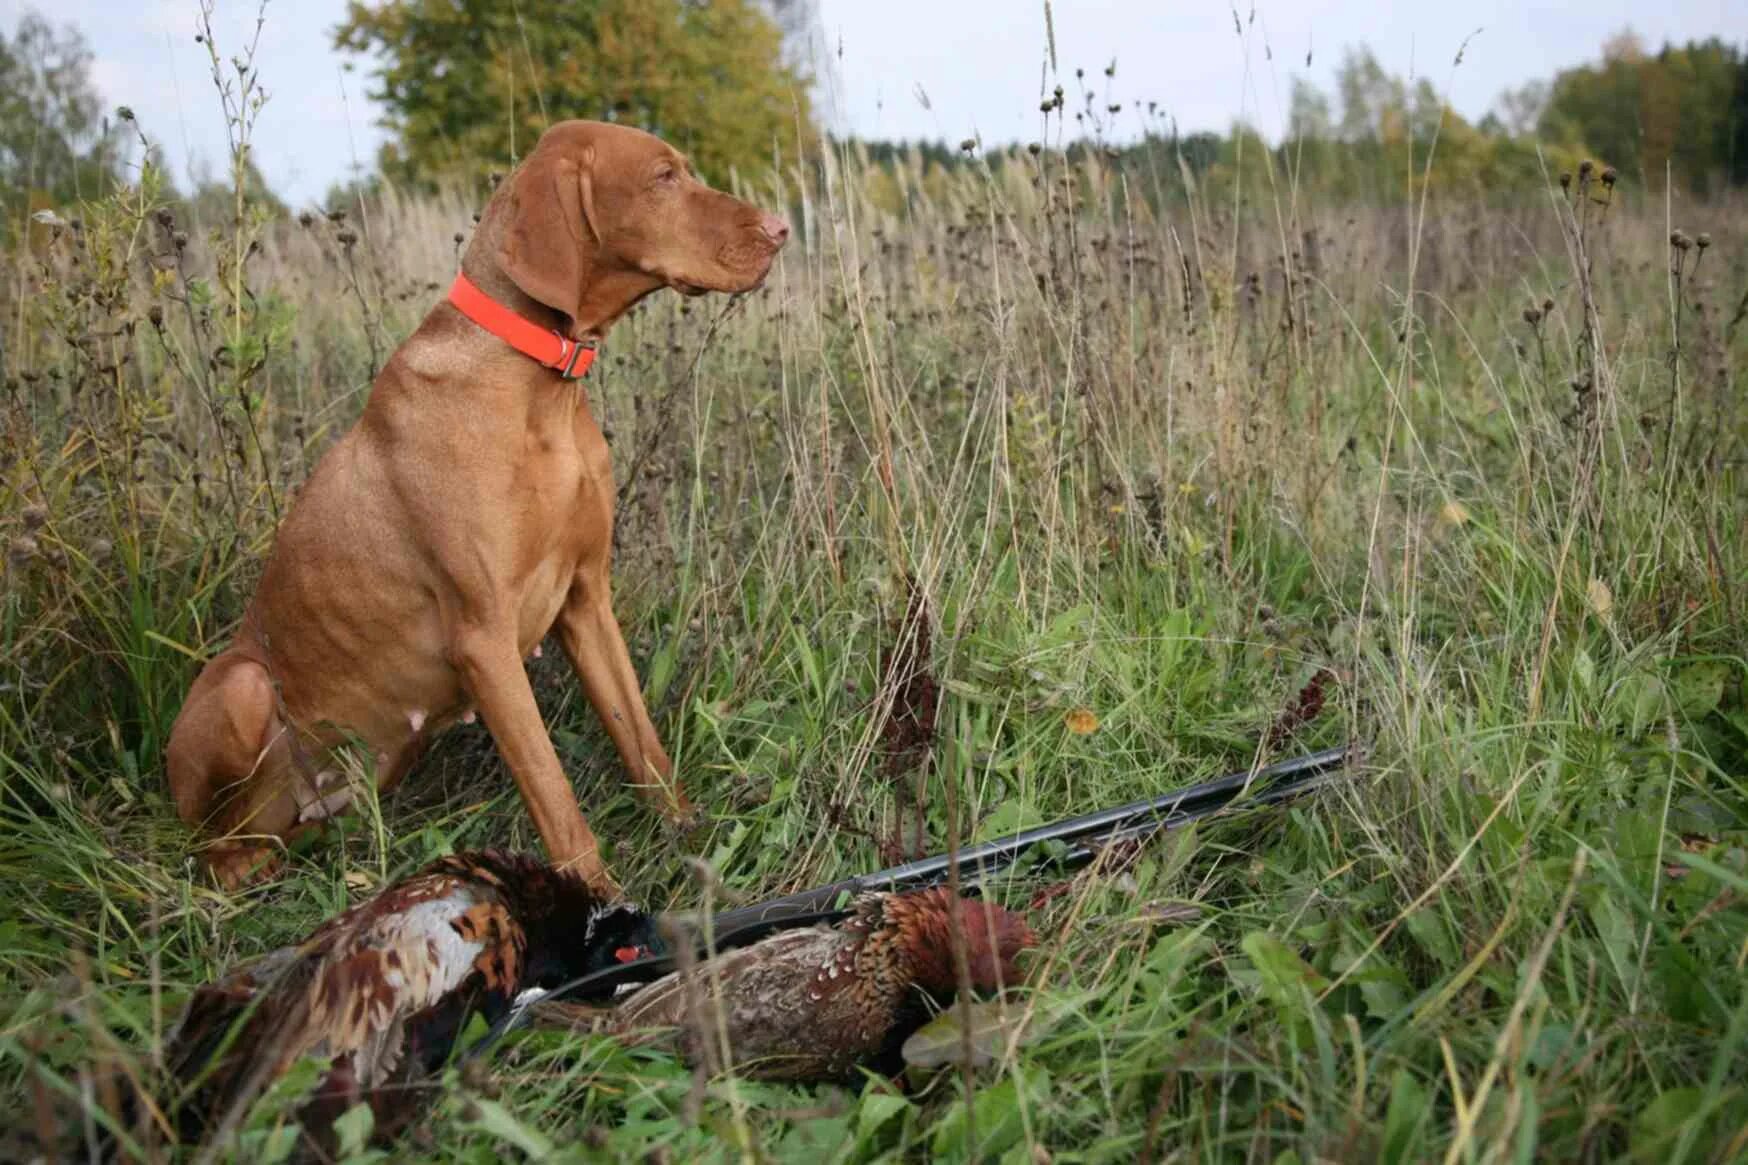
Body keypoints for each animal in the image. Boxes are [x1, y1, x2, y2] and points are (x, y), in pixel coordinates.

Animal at [166, 119, 790, 888]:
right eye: (663, 177)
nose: (781, 228)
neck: (538, 383)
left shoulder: (587, 598)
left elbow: (640, 737)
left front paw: (688, 834)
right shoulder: (485, 640)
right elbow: (556, 797)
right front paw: (599, 899)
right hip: (244, 687)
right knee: (215, 851)